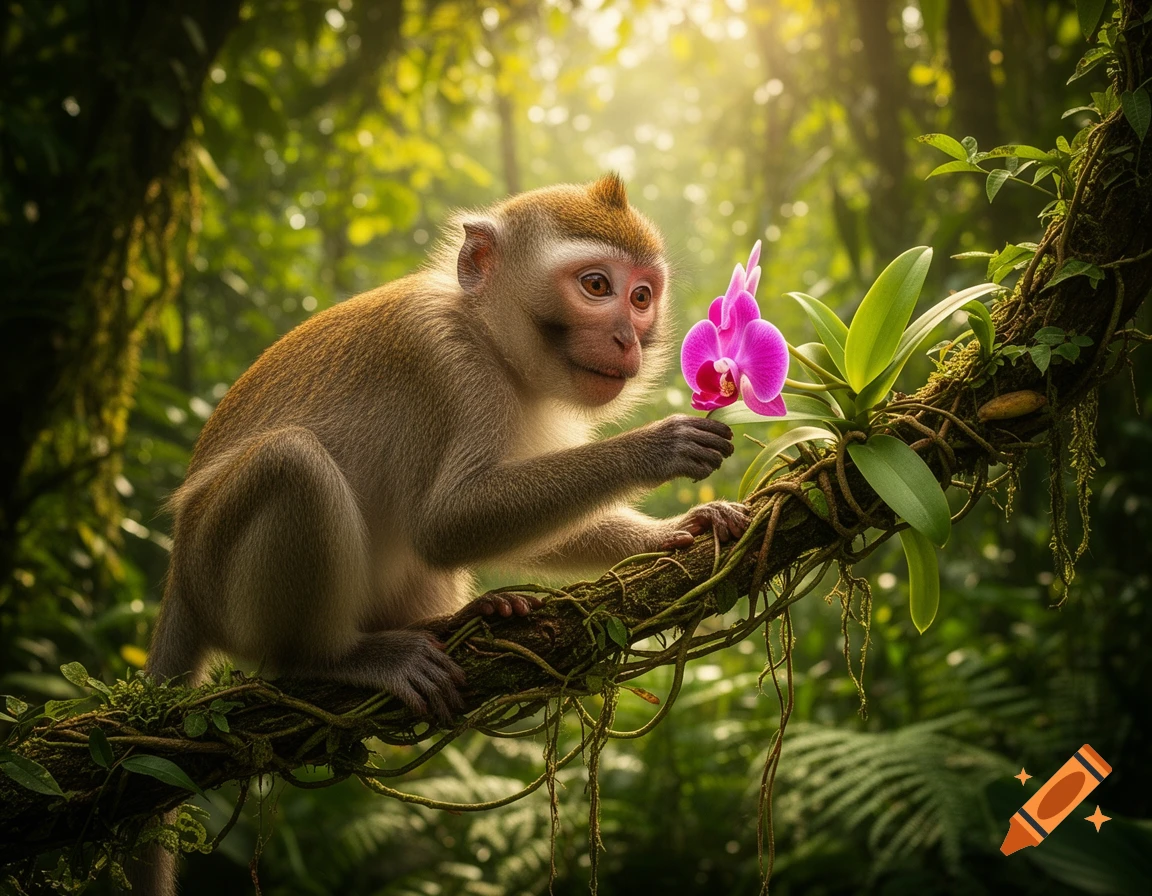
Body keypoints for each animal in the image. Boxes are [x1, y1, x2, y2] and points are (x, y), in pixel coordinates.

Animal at [131, 175, 748, 892]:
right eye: (597, 286)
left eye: (642, 296)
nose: (628, 337)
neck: (489, 338)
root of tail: (180, 575)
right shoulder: (452, 365)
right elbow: (446, 526)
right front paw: (660, 447)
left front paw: (680, 526)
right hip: (220, 567)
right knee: (291, 464)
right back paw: (332, 658)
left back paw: (456, 618)